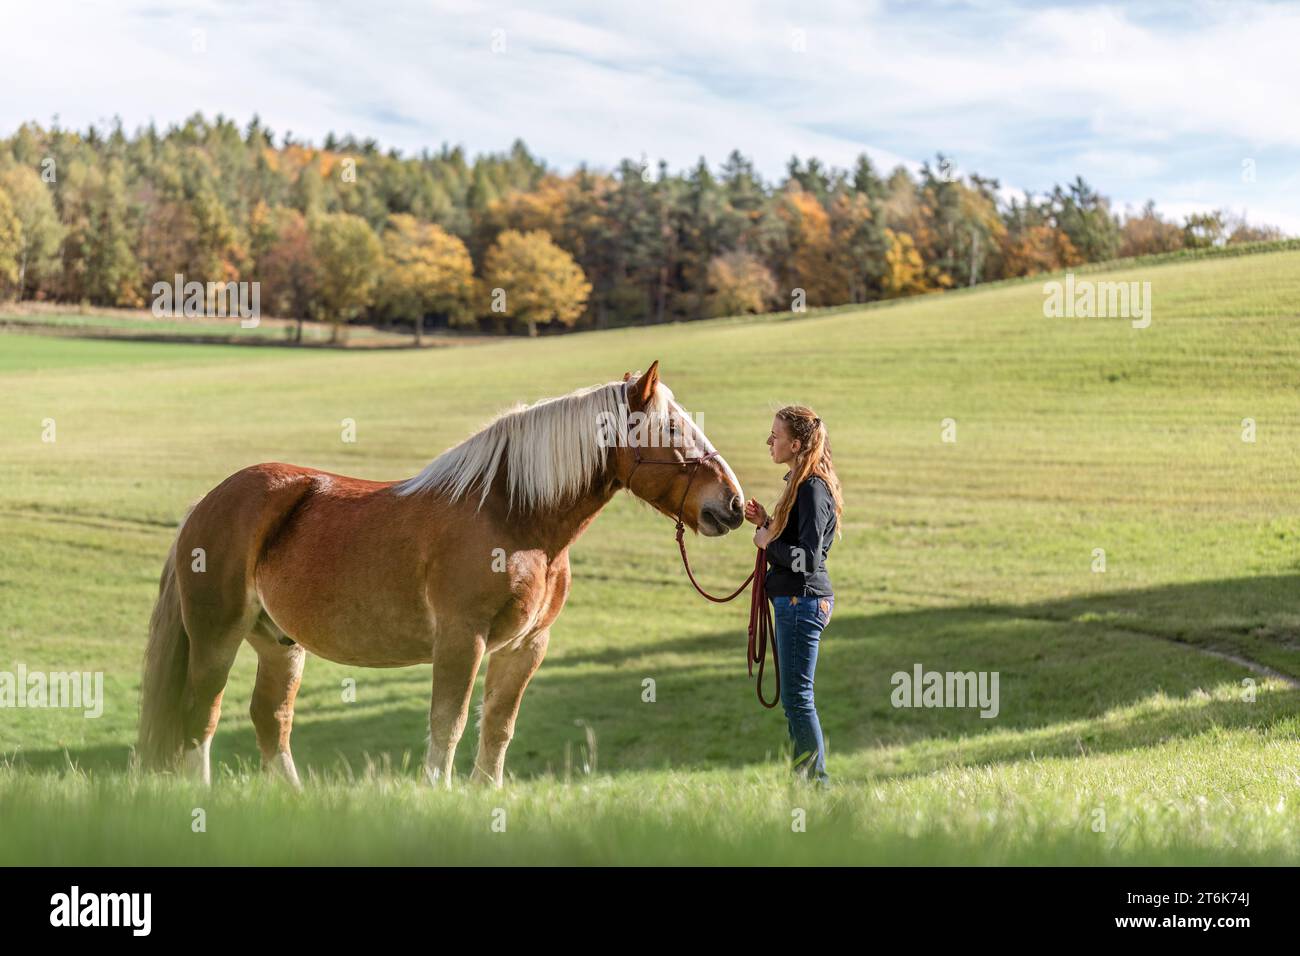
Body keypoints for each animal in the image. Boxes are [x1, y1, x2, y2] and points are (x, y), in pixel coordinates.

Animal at [134, 361, 743, 790]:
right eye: (671, 429)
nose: (734, 505)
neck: (513, 515)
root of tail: (206, 503)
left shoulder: (526, 646)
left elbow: (497, 726)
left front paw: (485, 796)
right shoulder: (461, 637)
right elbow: (448, 721)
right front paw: (439, 796)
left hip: (279, 642)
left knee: (270, 717)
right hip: (217, 637)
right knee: (201, 715)